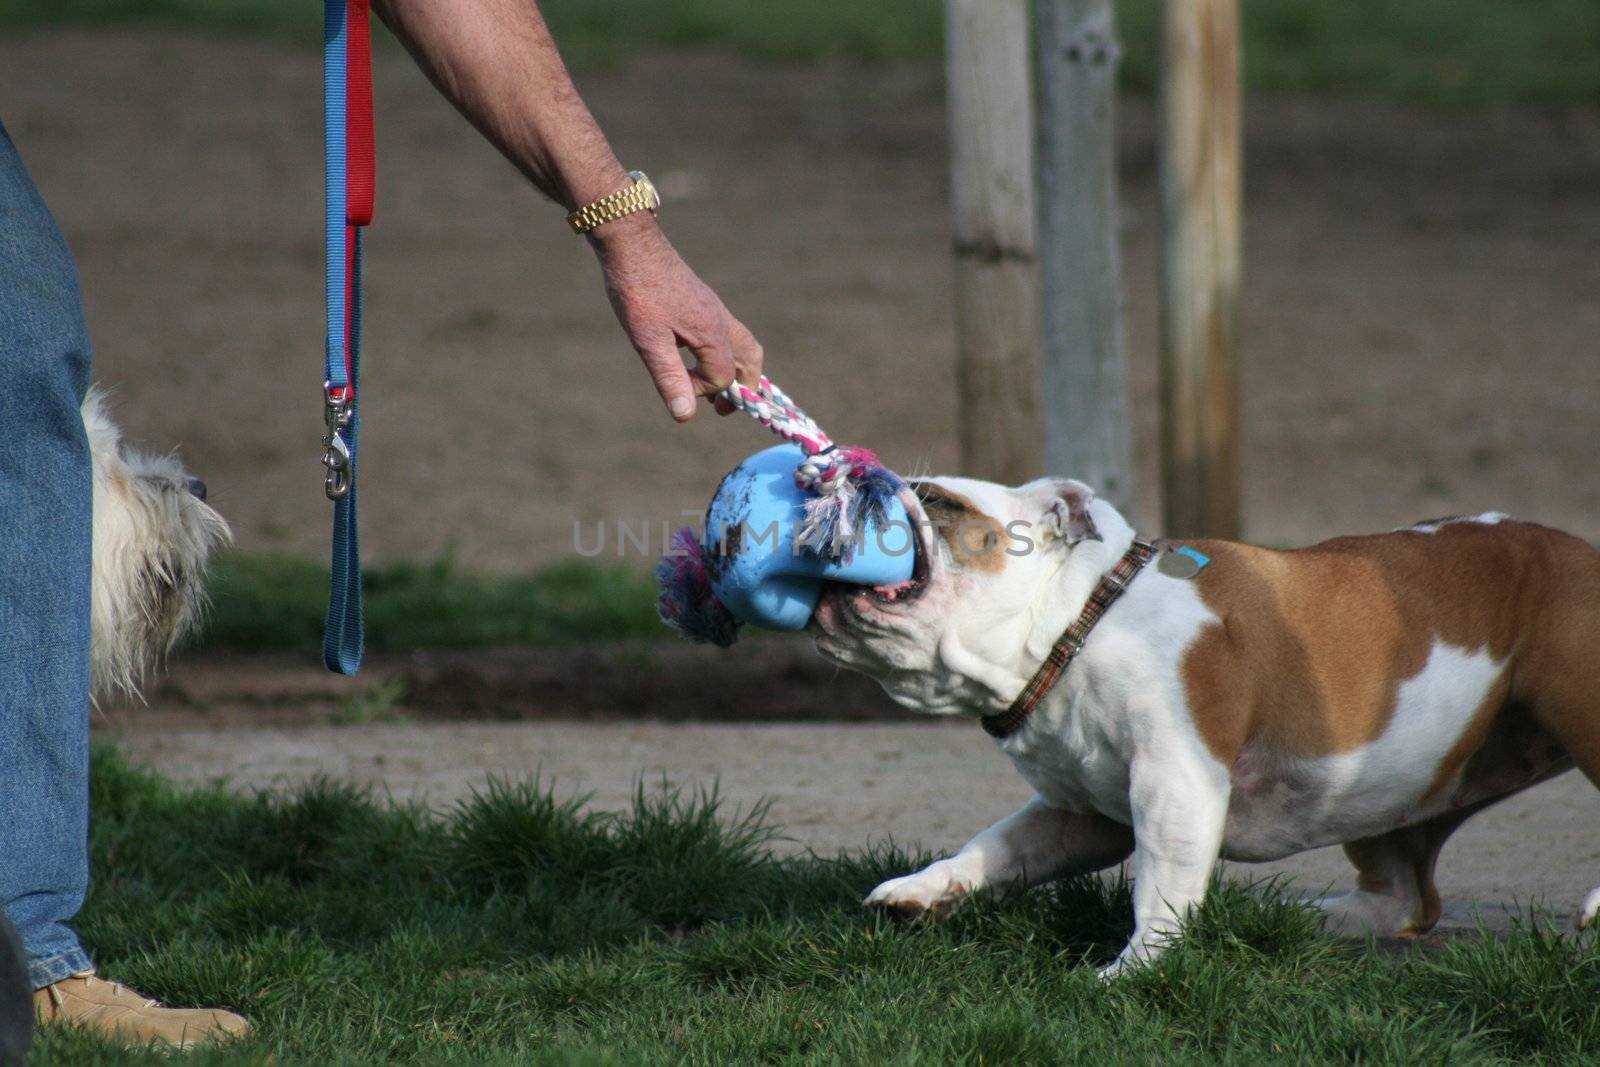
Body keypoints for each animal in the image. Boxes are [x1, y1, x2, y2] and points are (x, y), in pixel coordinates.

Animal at [812, 479, 1600, 979]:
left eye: (937, 500)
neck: (1080, 622)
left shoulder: (1175, 784)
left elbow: (1161, 882)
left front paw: (1134, 970)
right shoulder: (1080, 811)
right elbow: (1001, 845)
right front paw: (928, 888)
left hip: (1576, 700)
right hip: (1390, 787)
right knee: (1407, 898)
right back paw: (1310, 919)